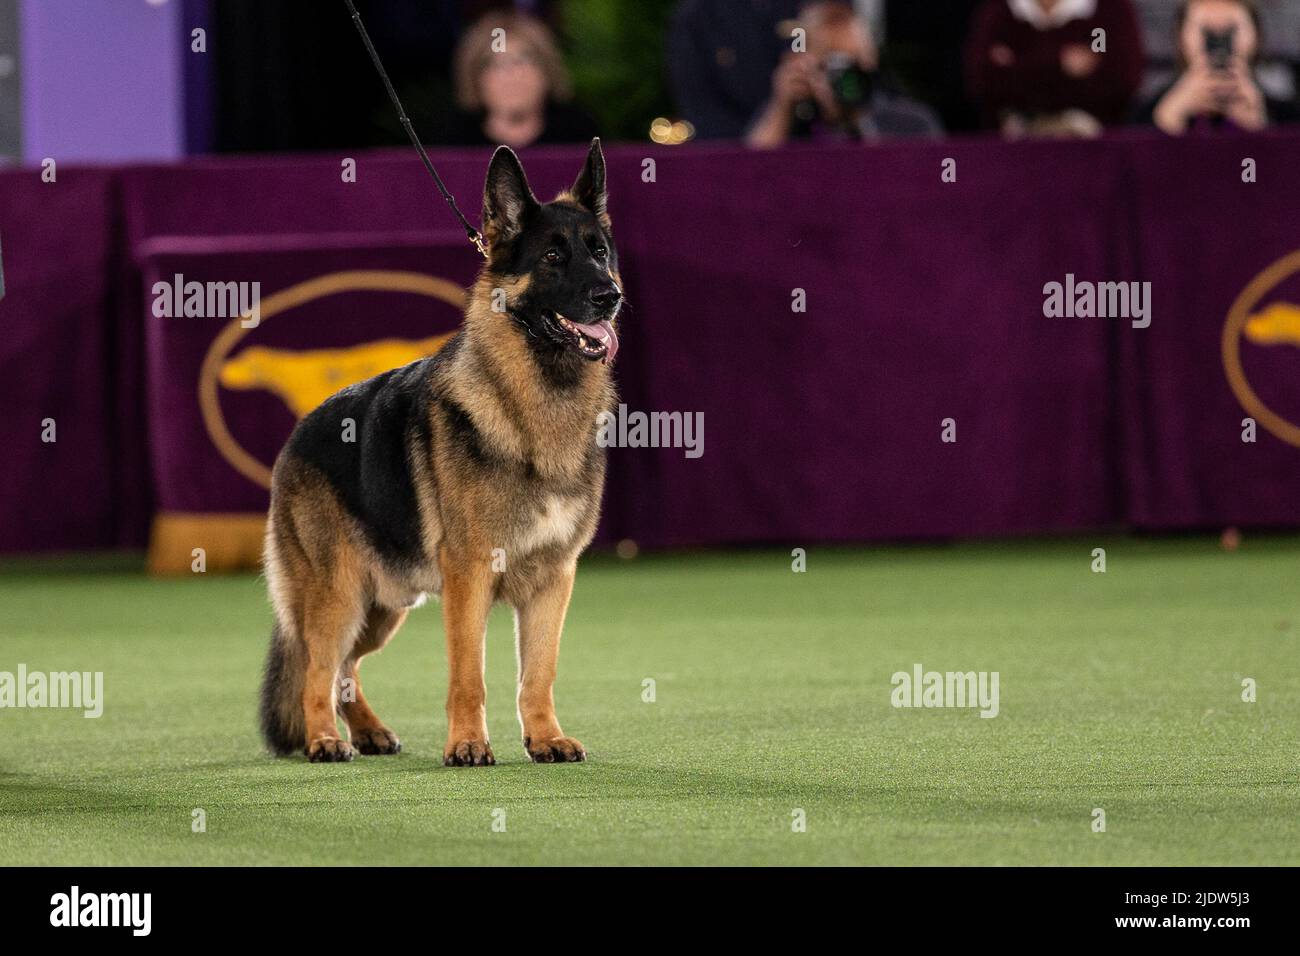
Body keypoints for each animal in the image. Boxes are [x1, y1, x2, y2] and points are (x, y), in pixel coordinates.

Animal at [257, 140, 618, 764]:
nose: (610, 296)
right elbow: (468, 673)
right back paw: (324, 738)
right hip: (338, 597)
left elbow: (538, 673)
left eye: (599, 252)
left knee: (346, 667)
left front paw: (544, 737)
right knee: (316, 669)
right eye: (553, 256)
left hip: (383, 606)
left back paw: (367, 730)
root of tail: (299, 432)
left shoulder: (553, 580)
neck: (528, 407)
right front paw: (468, 744)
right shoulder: (468, 578)